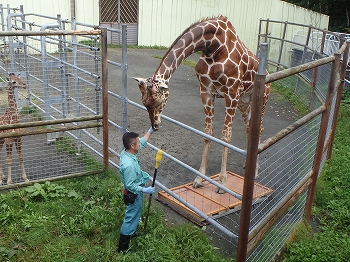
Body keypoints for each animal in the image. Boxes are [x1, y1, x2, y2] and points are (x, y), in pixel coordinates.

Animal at [135, 15, 270, 192]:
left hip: (261, 99)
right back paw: (248, 166)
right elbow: (208, 132)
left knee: (259, 129)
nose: (155, 125)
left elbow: (225, 136)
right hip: (244, 102)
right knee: (250, 129)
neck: (213, 46)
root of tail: (267, 73)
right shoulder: (206, 91)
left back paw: (255, 172)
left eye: (160, 100)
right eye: (144, 103)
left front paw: (222, 183)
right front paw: (199, 179)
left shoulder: (231, 92)